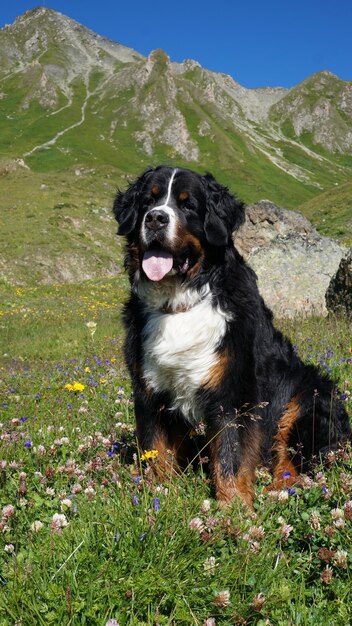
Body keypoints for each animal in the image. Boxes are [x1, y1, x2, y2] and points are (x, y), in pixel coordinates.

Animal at [113, 165, 350, 508]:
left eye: (188, 204)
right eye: (149, 200)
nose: (156, 218)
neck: (180, 302)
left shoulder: (234, 390)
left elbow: (231, 457)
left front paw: (233, 509)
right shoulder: (149, 389)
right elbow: (156, 451)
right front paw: (159, 497)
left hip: (308, 397)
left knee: (294, 460)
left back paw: (279, 490)